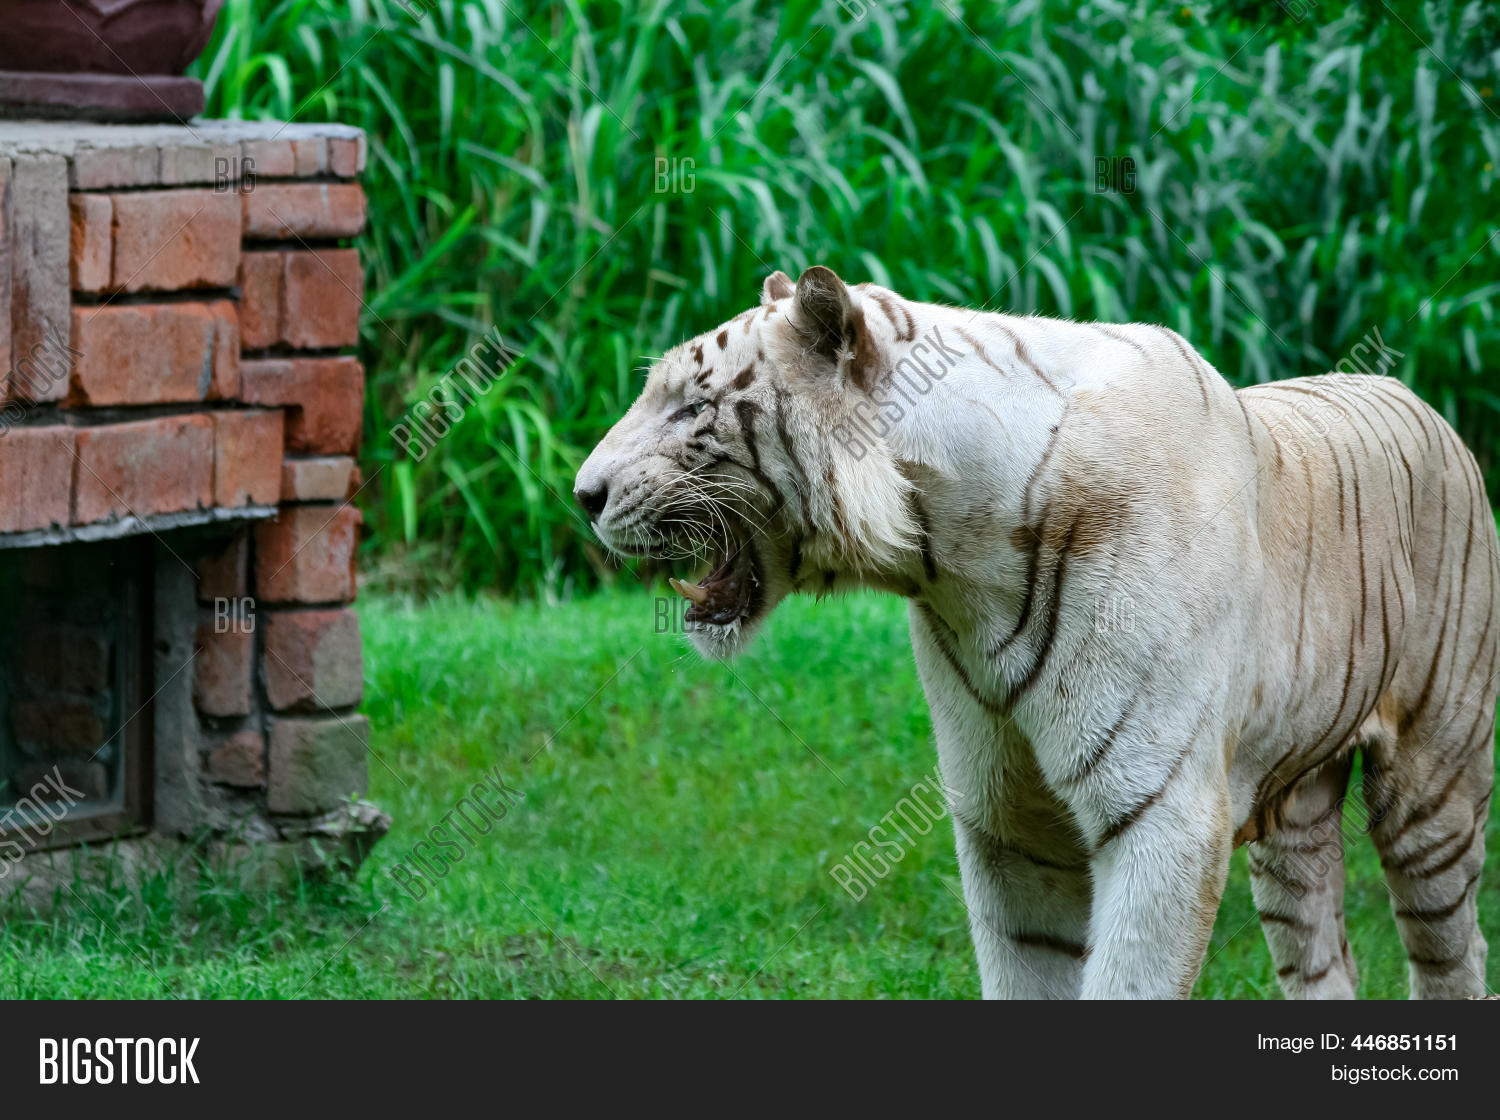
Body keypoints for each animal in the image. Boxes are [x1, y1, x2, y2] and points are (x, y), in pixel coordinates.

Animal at [574, 265, 1498, 999]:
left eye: (692, 407)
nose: (582, 494)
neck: (954, 559)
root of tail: (1423, 404)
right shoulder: (1007, 823)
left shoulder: (1163, 813)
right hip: (1293, 819)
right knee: (1321, 956)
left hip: (1434, 790)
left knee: (1453, 948)